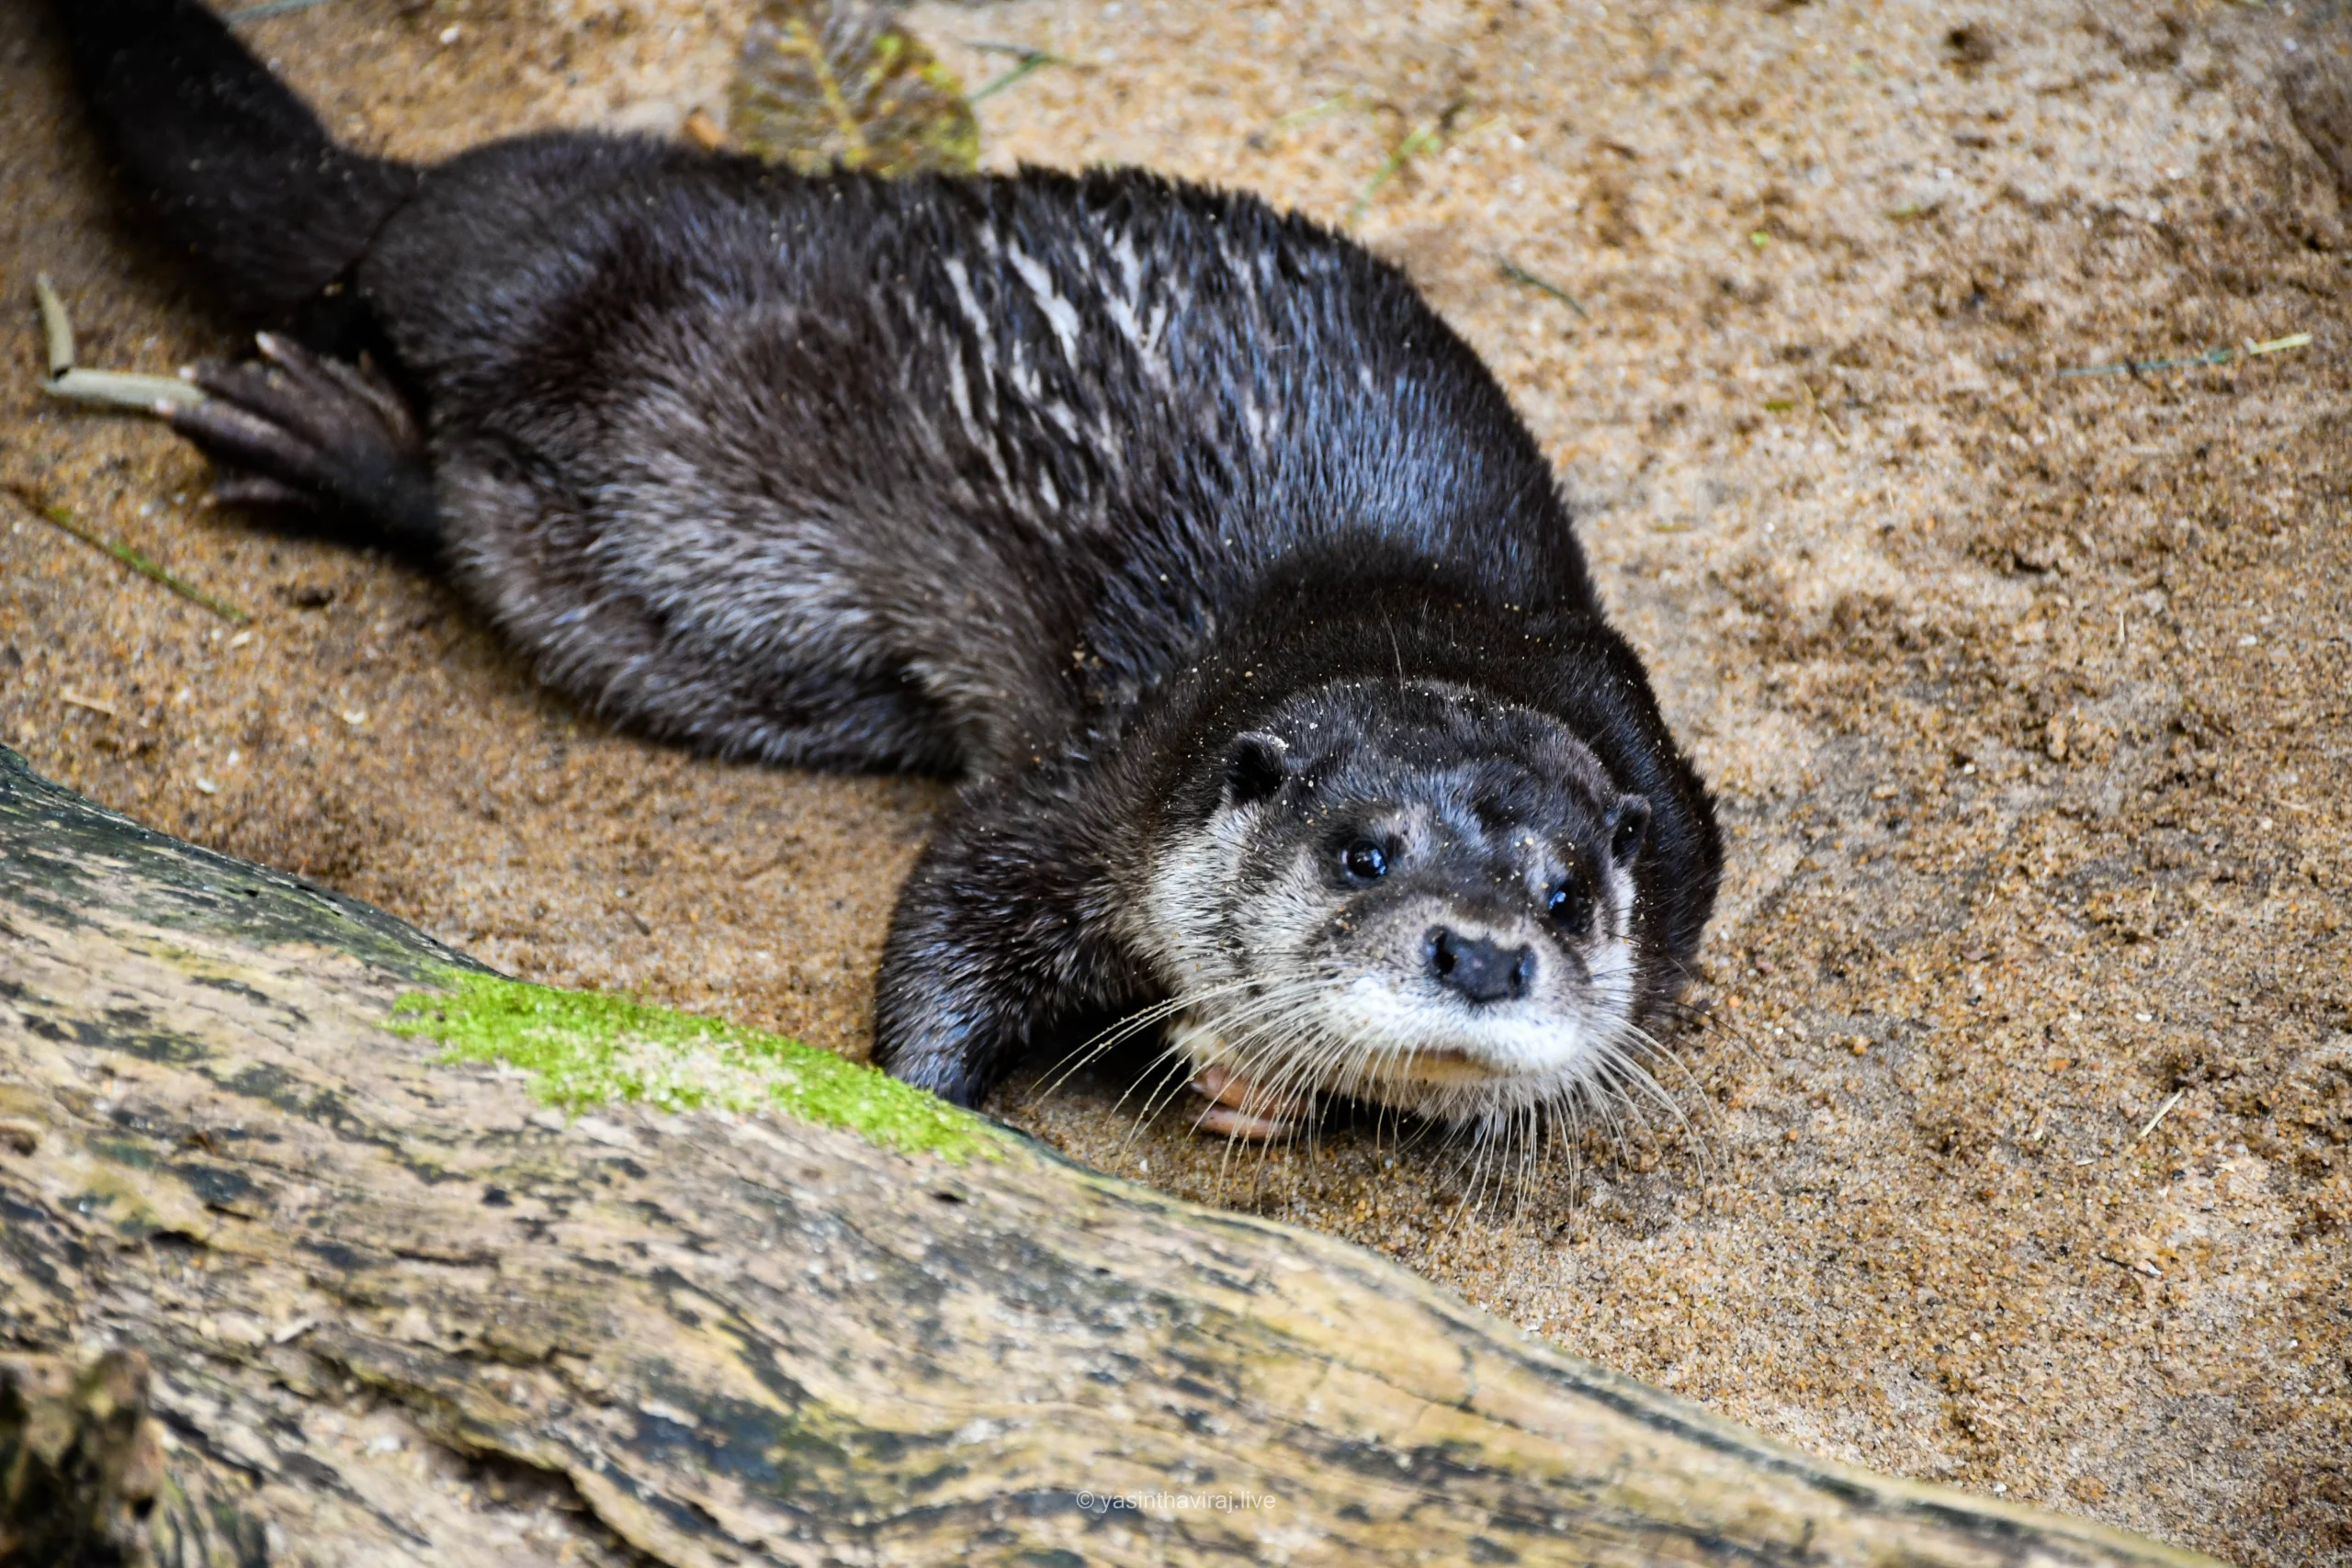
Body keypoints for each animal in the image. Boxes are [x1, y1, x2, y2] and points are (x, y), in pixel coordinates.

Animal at [57, 0, 1722, 1138]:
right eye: (1364, 852)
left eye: (1568, 891)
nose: (1484, 955)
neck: (1406, 607)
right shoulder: (1109, 782)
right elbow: (950, 909)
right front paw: (933, 1117)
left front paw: (1254, 1083)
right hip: (553, 275)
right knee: (381, 270)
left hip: (682, 613)